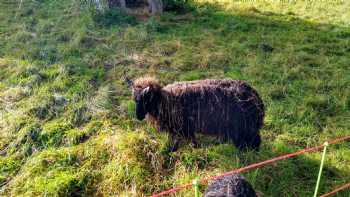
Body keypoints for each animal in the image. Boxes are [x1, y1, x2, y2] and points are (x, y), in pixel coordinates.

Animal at [126, 77, 266, 151]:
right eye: (135, 100)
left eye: (145, 100)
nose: (138, 117)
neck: (164, 100)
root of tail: (256, 97)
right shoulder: (180, 128)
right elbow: (179, 140)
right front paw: (172, 150)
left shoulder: (184, 127)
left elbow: (187, 140)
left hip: (245, 127)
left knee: (254, 140)